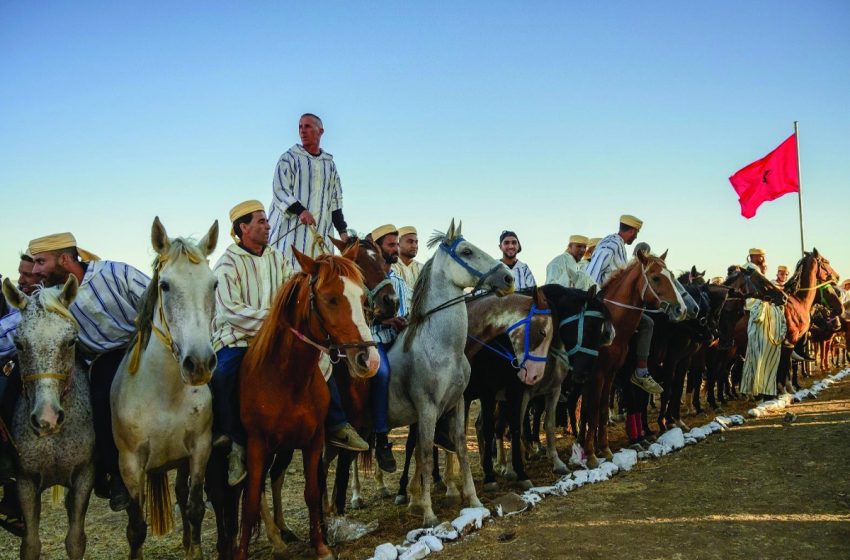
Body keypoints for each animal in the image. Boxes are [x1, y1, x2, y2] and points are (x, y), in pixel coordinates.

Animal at [2, 276, 94, 560]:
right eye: (19, 344)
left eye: (71, 341)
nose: (47, 419)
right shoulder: (26, 482)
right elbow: (31, 545)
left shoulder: (84, 476)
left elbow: (75, 541)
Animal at [109, 217, 219, 556]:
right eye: (165, 285)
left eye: (213, 284)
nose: (199, 363)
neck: (165, 394)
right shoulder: (130, 465)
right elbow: (136, 529)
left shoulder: (199, 449)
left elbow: (194, 508)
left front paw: (194, 551)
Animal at [232, 247, 378, 560]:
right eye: (331, 298)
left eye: (362, 299)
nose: (369, 360)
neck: (287, 378)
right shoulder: (257, 443)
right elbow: (250, 502)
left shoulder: (313, 439)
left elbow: (312, 491)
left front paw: (321, 545)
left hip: (284, 447)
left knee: (274, 477)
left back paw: (282, 532)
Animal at [384, 220, 510, 528]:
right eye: (466, 251)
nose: (508, 277)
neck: (442, 348)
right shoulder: (427, 410)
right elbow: (426, 456)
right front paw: (428, 513)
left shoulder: (458, 402)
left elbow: (461, 447)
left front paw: (474, 499)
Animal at [576, 250, 684, 468]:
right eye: (656, 277)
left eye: (671, 275)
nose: (680, 310)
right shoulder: (596, 375)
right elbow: (593, 410)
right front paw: (591, 455)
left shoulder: (610, 374)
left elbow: (601, 410)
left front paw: (605, 449)